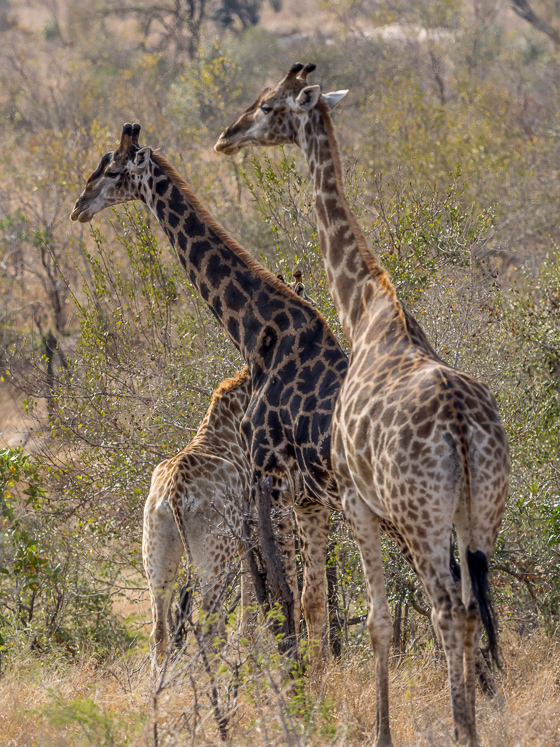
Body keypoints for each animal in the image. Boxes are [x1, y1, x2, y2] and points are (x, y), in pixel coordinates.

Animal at [215, 64, 510, 746]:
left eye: (267, 106)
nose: (227, 136)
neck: (368, 307)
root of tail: (461, 429)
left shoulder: (356, 500)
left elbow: (374, 619)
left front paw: (381, 731)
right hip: (480, 512)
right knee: (472, 608)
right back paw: (472, 724)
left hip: (421, 516)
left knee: (445, 609)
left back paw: (460, 727)